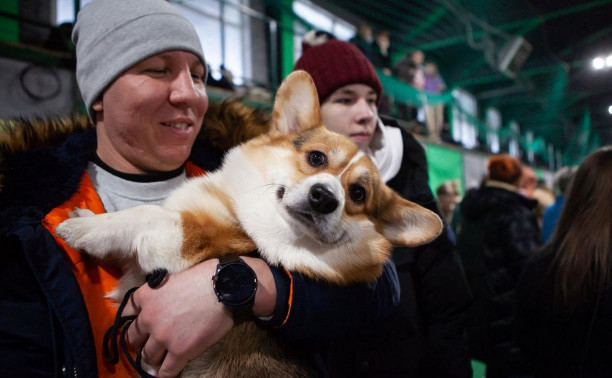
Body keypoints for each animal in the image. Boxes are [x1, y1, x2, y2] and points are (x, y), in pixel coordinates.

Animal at [55, 71, 442, 378]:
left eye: (359, 194)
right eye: (317, 158)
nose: (324, 197)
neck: (250, 215)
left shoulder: (181, 243)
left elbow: (146, 214)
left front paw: (84, 230)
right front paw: (87, 216)